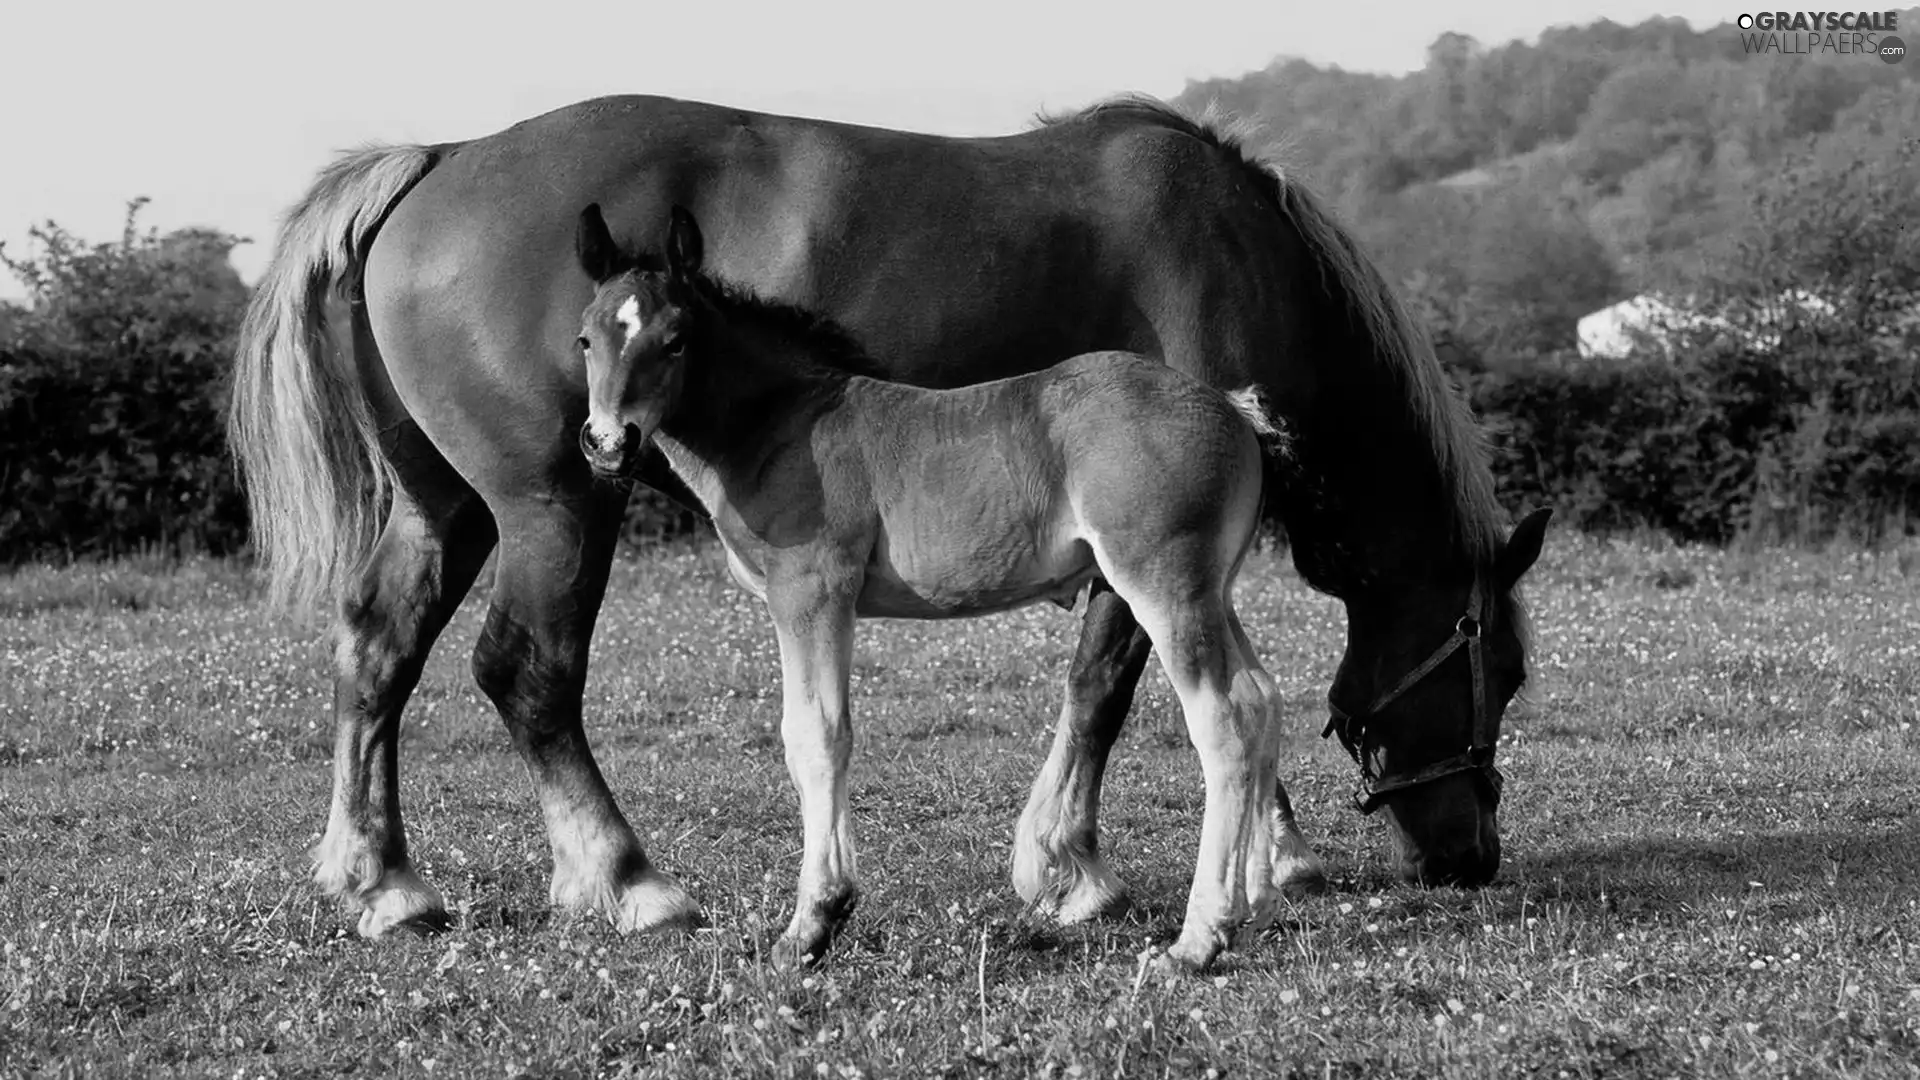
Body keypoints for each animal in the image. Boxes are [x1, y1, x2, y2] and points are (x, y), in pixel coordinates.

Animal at [232, 90, 1551, 933]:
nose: (1472, 857)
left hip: (447, 510)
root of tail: (440, 157)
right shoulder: (1127, 555)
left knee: (379, 653)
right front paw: (1077, 867)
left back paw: (384, 883)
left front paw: (1241, 856)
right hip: (555, 505)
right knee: (528, 673)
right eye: (1498, 665)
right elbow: (1108, 686)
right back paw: (626, 879)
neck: (1238, 247)